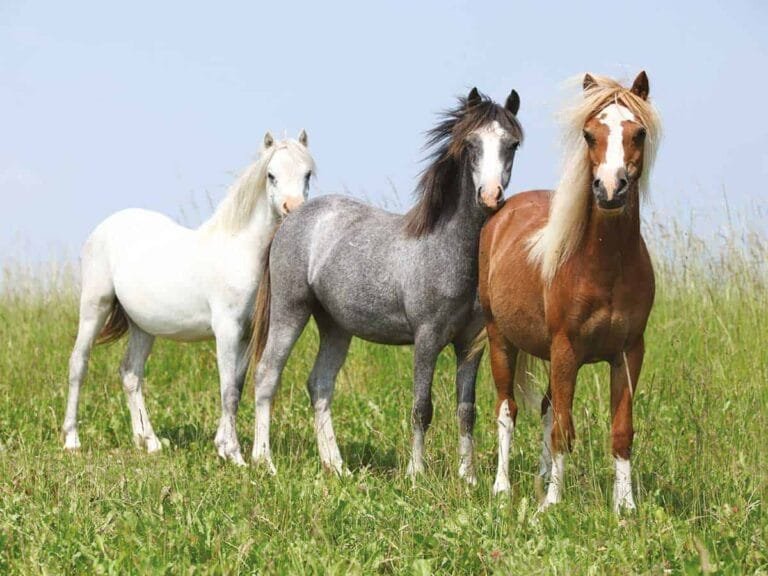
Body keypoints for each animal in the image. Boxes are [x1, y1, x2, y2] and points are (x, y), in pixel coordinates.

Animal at [62, 131, 315, 465]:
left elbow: (236, 386)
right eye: (271, 175)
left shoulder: (246, 335)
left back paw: (148, 441)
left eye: (307, 174)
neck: (239, 250)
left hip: (142, 326)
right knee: (79, 363)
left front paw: (222, 446)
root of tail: (107, 225)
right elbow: (227, 390)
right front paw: (235, 455)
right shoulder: (227, 331)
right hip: (95, 307)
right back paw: (72, 440)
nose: (293, 207)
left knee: (130, 374)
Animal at [249, 88, 523, 481]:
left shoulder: (470, 345)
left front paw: (468, 477)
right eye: (471, 144)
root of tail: (292, 218)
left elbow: (466, 411)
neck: (446, 249)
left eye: (512, 144)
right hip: (290, 311)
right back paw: (264, 461)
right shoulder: (427, 340)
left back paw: (337, 466)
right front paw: (415, 474)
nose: (490, 196)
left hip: (335, 326)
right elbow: (422, 407)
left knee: (320, 385)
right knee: (267, 375)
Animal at [476, 72, 661, 511]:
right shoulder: (566, 350)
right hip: (501, 338)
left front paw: (626, 507)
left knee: (545, 408)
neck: (604, 267)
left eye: (639, 133)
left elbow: (620, 430)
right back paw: (502, 488)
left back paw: (541, 478)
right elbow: (563, 426)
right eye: (589, 134)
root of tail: (502, 212)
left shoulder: (629, 353)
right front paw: (551, 505)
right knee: (507, 408)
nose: (610, 190)